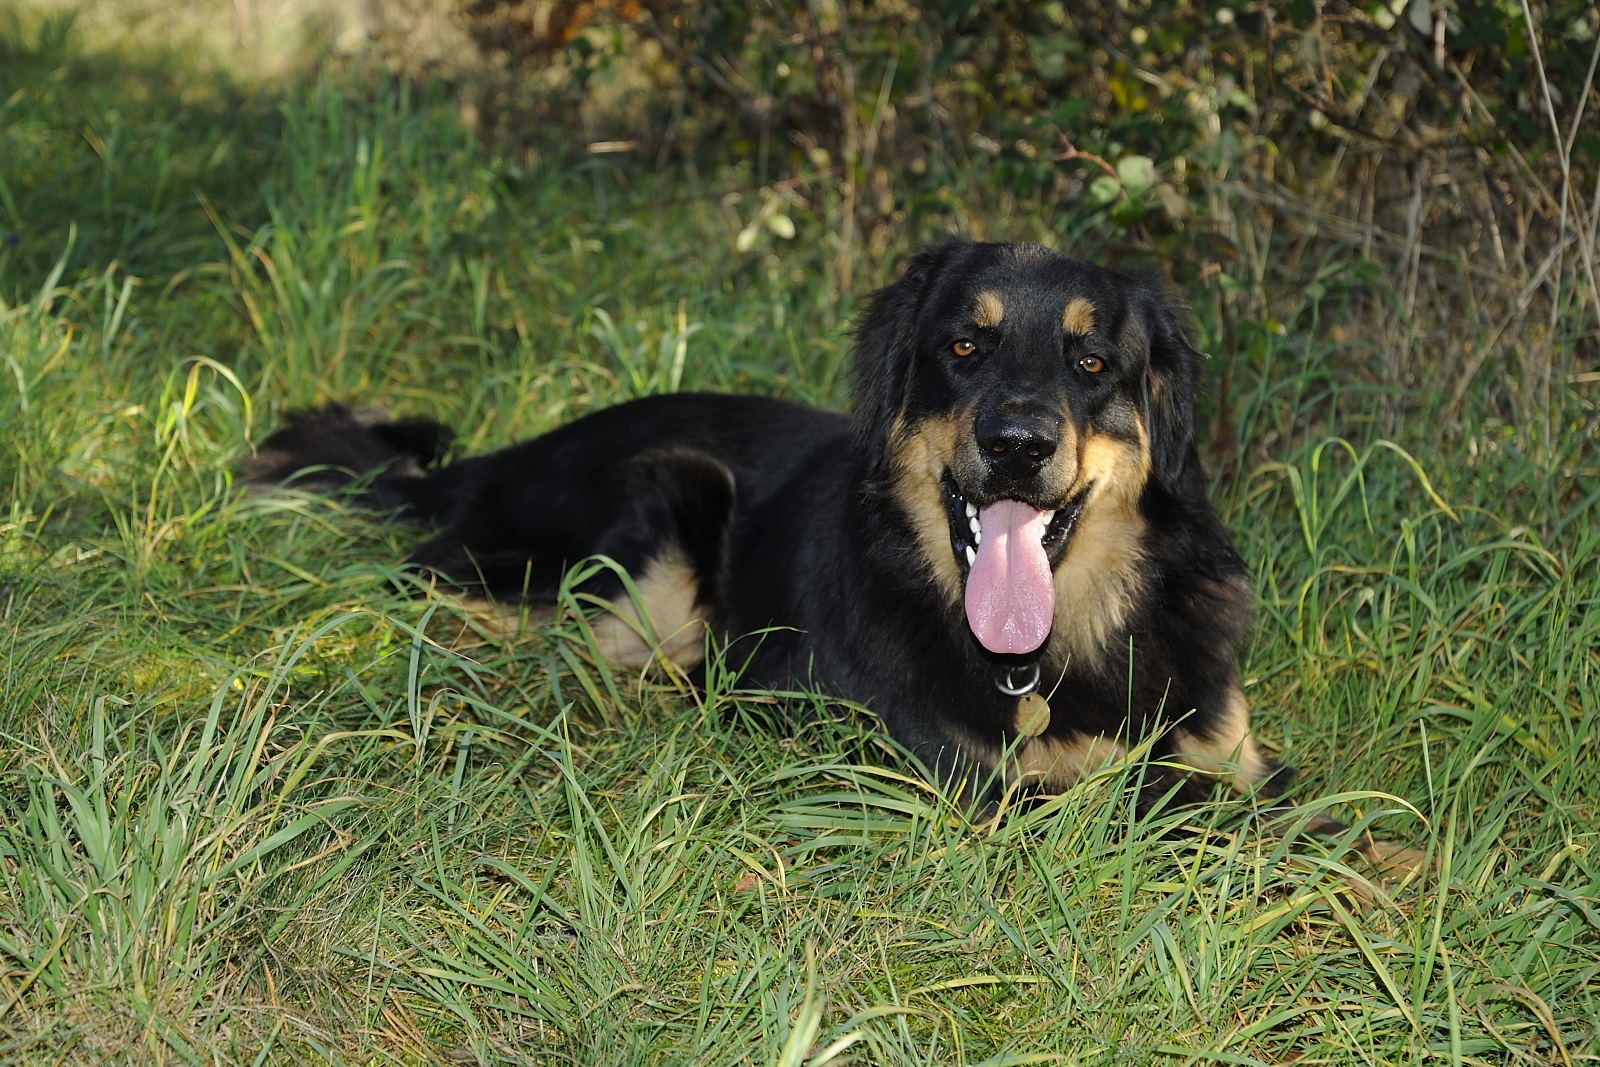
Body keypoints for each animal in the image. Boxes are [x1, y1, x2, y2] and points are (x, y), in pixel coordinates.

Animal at [247, 241, 1410, 859]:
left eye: (1091, 361)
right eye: (963, 345)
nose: (1016, 443)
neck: (1060, 642)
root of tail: (500, 457)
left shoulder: (1227, 748)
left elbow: (1318, 814)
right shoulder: (976, 789)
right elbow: (1182, 813)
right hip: (658, 506)